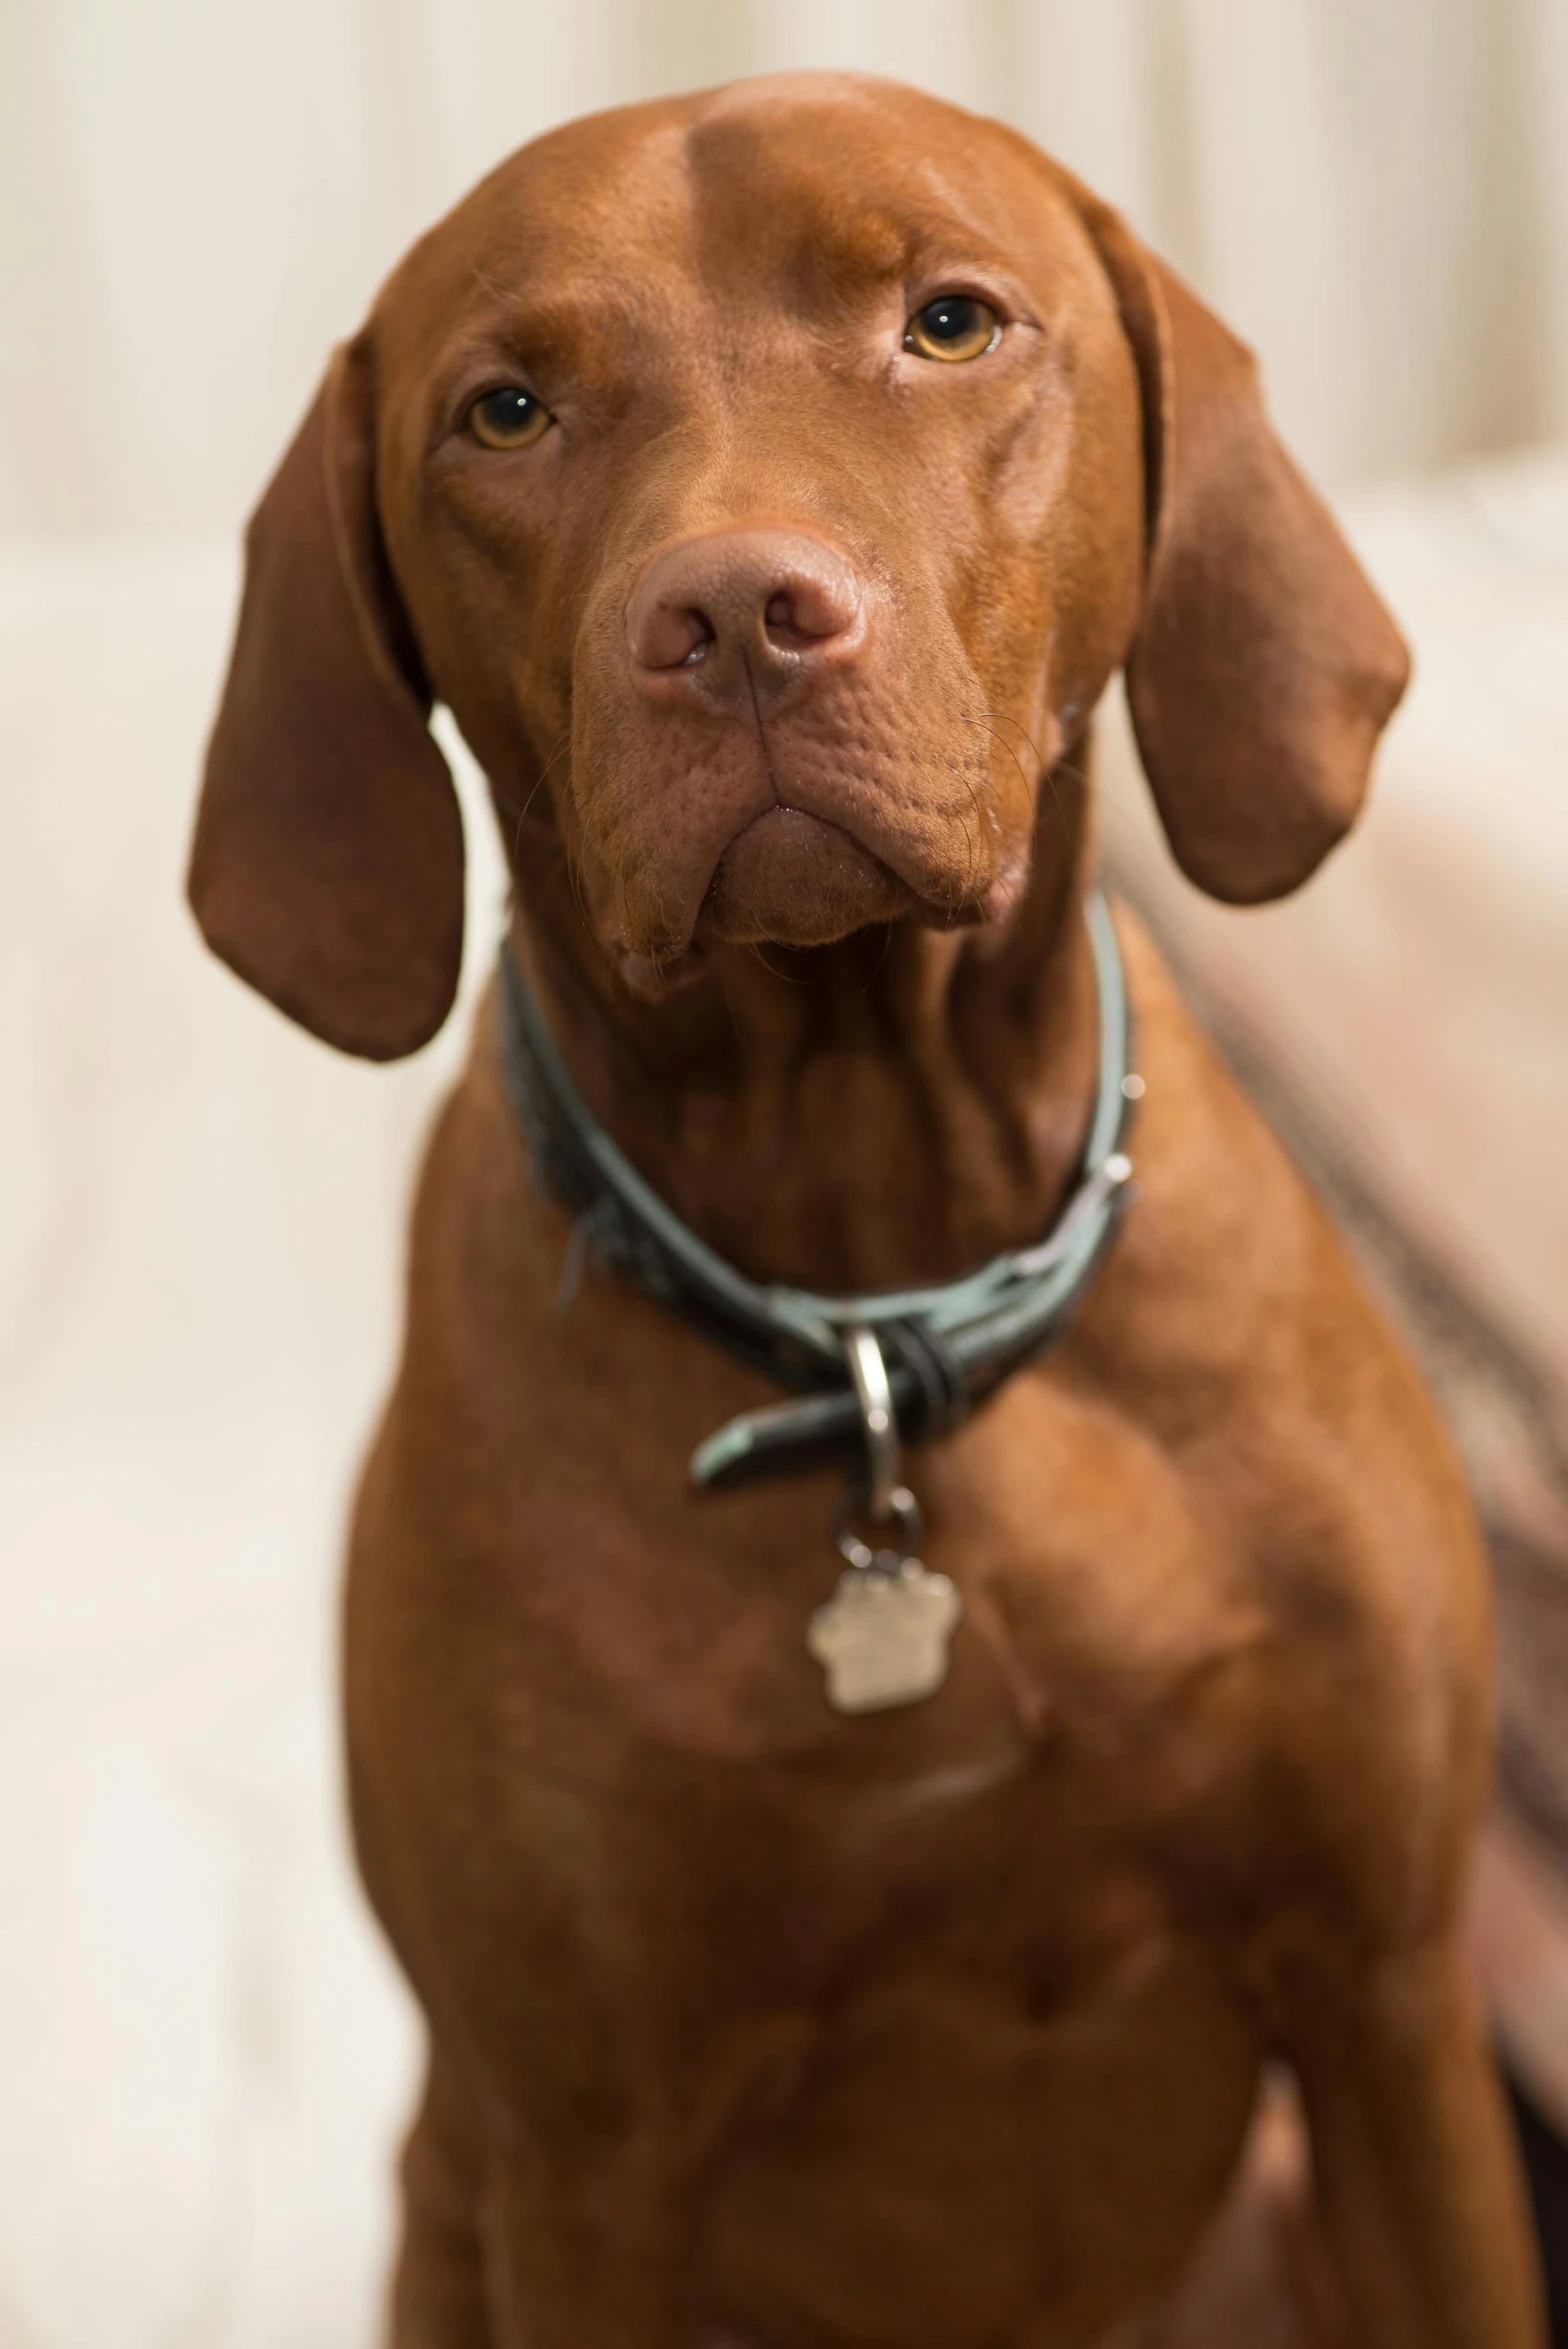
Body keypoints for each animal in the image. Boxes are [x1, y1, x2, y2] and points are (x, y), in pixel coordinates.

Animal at [186, 73, 1539, 2349]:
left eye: (951, 322)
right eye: (506, 411)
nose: (733, 615)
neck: (878, 1287)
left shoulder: (1383, 2008)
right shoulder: (590, 2167)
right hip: (443, 2204)